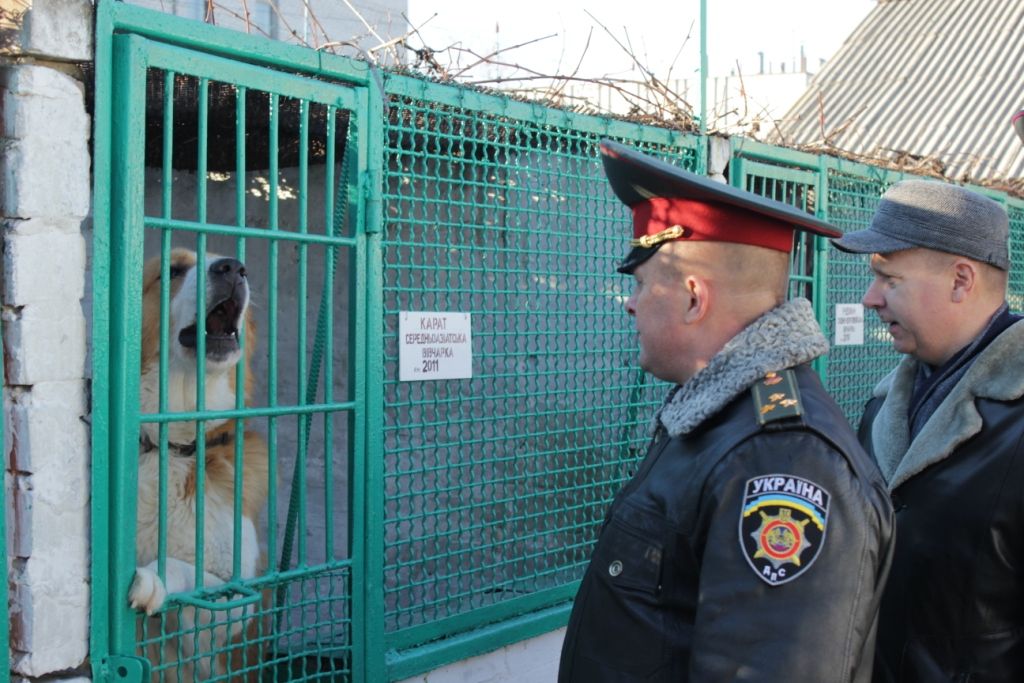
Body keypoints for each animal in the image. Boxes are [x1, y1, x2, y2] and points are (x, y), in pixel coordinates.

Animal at [126, 248, 268, 679]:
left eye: (238, 266)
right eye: (173, 270)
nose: (233, 268)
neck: (172, 446)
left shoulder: (233, 611)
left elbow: (192, 574)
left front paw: (154, 576)